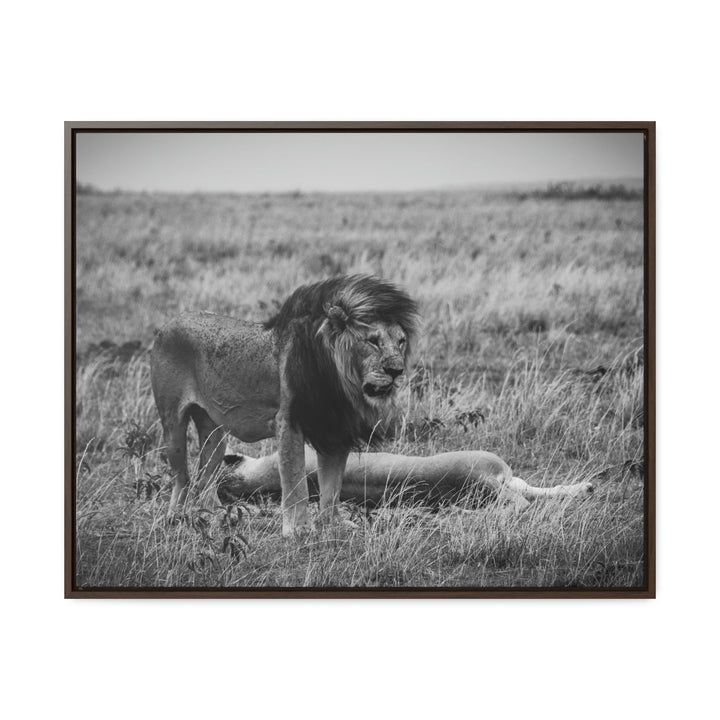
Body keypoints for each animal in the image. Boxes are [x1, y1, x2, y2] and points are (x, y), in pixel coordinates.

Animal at [152, 276, 422, 536]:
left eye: (401, 341)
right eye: (372, 341)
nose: (396, 371)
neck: (342, 383)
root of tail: (168, 324)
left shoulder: (333, 430)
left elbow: (333, 485)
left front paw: (333, 524)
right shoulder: (289, 422)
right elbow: (296, 481)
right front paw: (298, 530)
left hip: (214, 433)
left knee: (205, 477)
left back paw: (218, 519)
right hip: (173, 426)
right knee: (182, 478)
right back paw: (176, 517)